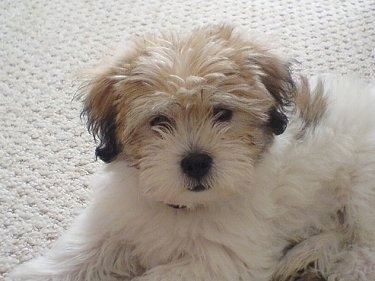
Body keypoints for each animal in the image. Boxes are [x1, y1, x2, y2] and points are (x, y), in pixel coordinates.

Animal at [11, 24, 375, 280]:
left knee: (363, 252)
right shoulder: (113, 227)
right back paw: (304, 258)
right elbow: (74, 258)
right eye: (158, 120)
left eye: (223, 113)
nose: (197, 162)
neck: (183, 206)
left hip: (363, 192)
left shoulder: (221, 261)